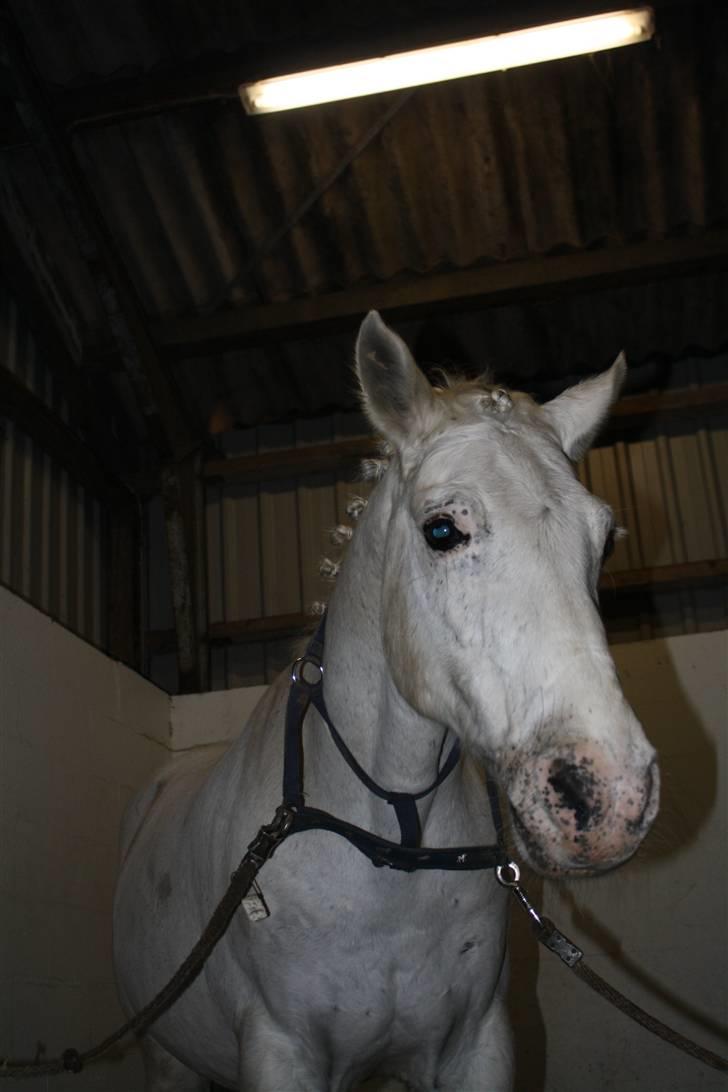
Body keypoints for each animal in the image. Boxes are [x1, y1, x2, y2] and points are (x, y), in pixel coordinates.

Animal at [113, 311, 659, 1092]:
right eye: (442, 529)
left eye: (606, 540)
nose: (608, 797)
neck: (394, 843)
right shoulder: (282, 1052)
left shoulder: (475, 1047)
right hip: (166, 1059)